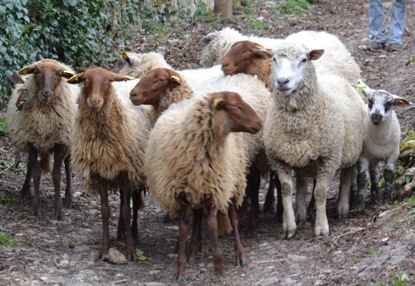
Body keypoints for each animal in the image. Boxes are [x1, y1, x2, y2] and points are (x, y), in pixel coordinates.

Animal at [6, 58, 79, 219]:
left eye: (59, 74)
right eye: (36, 72)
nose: (46, 93)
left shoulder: (61, 143)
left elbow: (57, 175)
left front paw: (58, 210)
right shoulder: (30, 141)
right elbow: (36, 173)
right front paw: (35, 207)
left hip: (69, 141)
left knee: (68, 166)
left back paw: (69, 198)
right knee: (29, 165)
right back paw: (25, 191)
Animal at [67, 67, 152, 262]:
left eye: (108, 81)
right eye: (85, 80)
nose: (94, 101)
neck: (102, 142)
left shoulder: (127, 173)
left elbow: (127, 210)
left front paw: (131, 250)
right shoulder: (99, 173)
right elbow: (105, 210)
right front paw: (104, 249)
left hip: (136, 172)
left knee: (134, 202)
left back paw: (133, 232)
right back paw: (120, 231)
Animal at [143, 90, 260, 280]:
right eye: (234, 105)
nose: (259, 123)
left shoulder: (214, 190)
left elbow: (212, 225)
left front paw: (219, 266)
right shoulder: (180, 195)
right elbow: (183, 229)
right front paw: (180, 269)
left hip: (234, 182)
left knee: (233, 218)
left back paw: (239, 255)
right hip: (197, 190)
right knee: (198, 217)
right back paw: (192, 250)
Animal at [264, 40, 368, 237]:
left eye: (304, 60)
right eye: (274, 59)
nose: (282, 81)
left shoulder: (329, 158)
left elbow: (320, 192)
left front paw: (321, 228)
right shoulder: (278, 159)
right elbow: (287, 190)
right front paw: (289, 227)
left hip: (349, 150)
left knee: (346, 175)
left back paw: (342, 208)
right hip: (302, 158)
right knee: (302, 181)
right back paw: (300, 214)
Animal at [352, 79, 412, 209]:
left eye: (389, 103)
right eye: (370, 101)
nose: (376, 116)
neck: (379, 140)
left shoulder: (394, 153)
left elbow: (388, 174)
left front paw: (387, 197)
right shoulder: (363, 155)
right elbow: (362, 178)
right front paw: (359, 204)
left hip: (375, 157)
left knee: (374, 172)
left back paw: (375, 195)